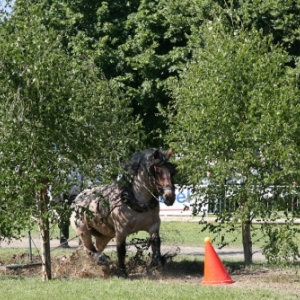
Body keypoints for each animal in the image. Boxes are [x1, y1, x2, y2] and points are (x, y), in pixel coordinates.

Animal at [70, 148, 177, 276]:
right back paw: (101, 260)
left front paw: (156, 265)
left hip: (104, 236)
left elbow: (156, 242)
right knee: (89, 249)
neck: (133, 199)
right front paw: (122, 271)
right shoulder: (121, 231)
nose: (169, 197)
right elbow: (121, 250)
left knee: (94, 248)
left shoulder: (154, 225)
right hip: (83, 231)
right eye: (156, 171)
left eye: (171, 170)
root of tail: (76, 200)